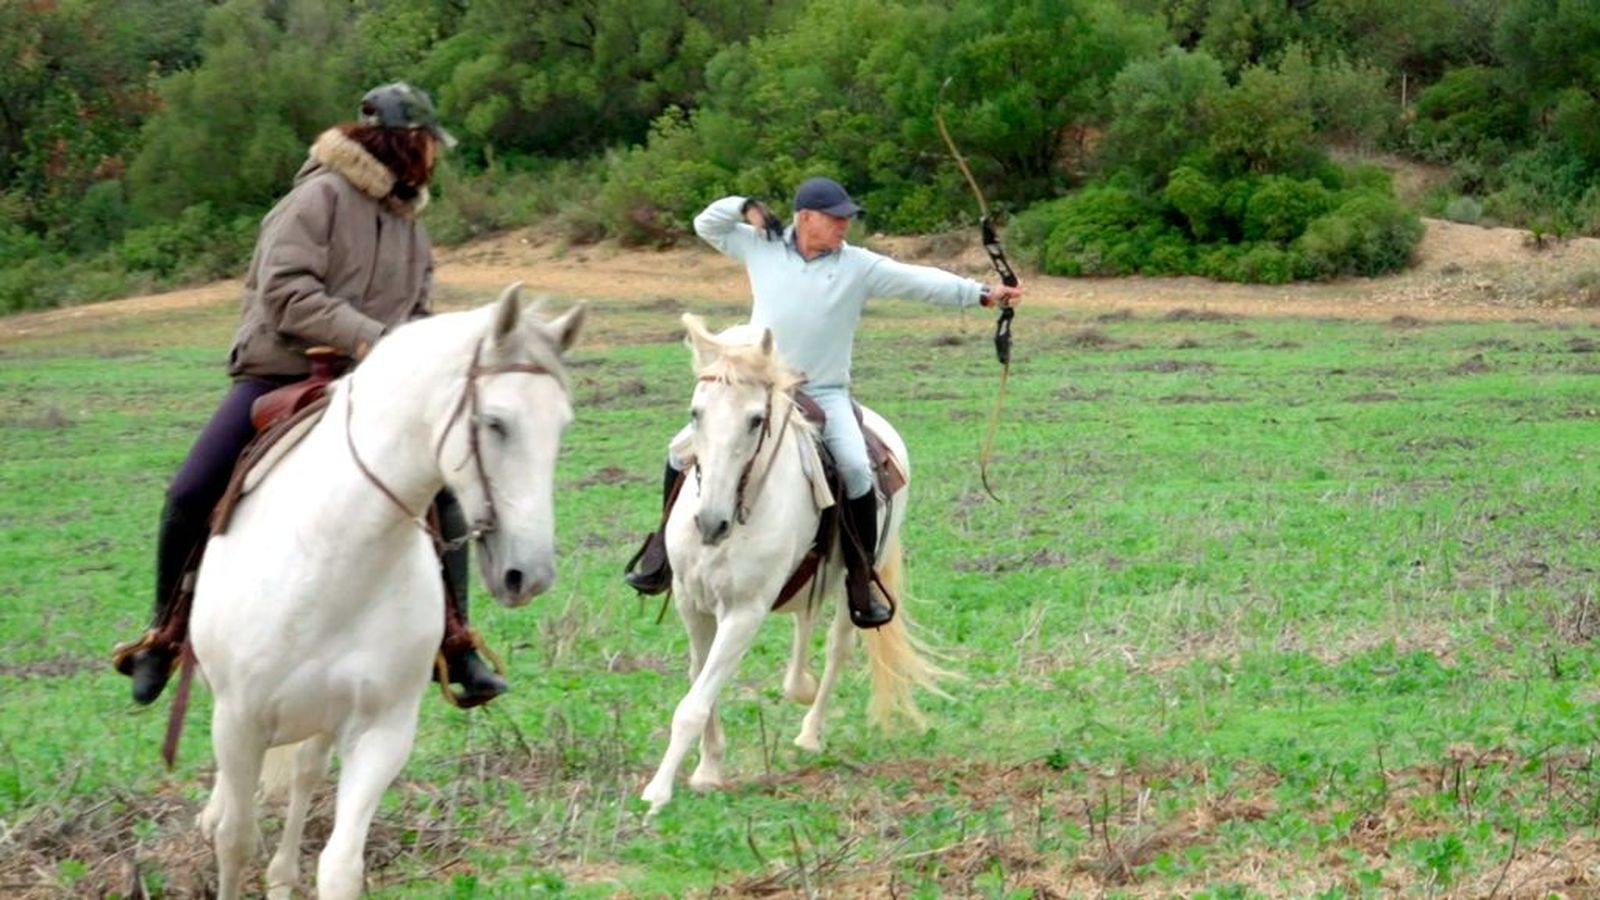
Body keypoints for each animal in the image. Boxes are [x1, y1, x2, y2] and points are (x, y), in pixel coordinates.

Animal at [188, 284, 584, 900]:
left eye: (561, 427)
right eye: (495, 423)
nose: (531, 574)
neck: (331, 556)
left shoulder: (382, 731)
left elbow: (340, 865)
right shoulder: (239, 721)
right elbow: (235, 840)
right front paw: (221, 830)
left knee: (303, 776)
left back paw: (281, 877)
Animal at [640, 314, 951, 815]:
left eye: (755, 420)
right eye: (695, 413)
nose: (710, 522)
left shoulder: (743, 612)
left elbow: (694, 702)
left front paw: (659, 790)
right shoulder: (693, 604)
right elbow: (699, 681)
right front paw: (708, 768)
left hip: (853, 583)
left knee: (838, 646)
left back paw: (810, 730)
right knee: (803, 623)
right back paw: (797, 684)